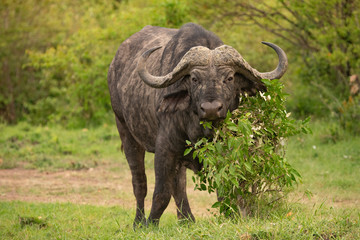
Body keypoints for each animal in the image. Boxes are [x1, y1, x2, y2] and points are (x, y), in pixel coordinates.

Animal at [107, 21, 286, 226]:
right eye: (194, 78)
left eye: (229, 78)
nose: (211, 109)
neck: (197, 128)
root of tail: (114, 66)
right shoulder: (164, 148)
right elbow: (161, 193)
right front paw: (151, 224)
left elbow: (225, 187)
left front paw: (231, 216)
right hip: (125, 131)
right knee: (140, 183)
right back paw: (138, 222)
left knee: (179, 185)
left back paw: (186, 220)